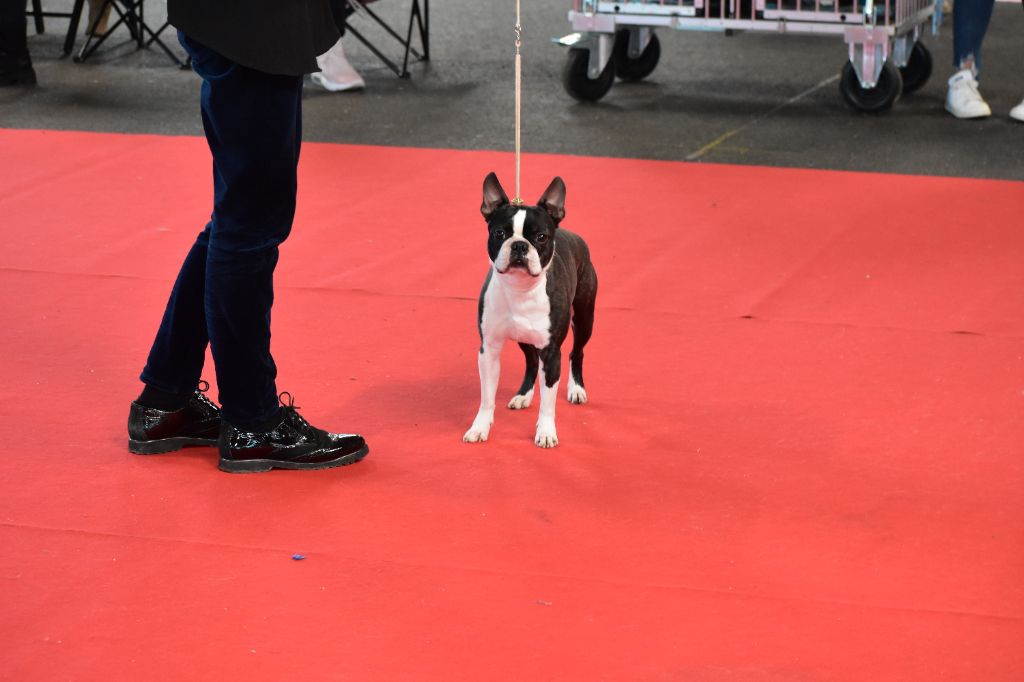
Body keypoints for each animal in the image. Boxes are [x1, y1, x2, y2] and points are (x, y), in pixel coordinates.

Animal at [466, 171, 598, 446]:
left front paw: (546, 432)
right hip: (524, 337)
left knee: (577, 352)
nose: (519, 245)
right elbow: (486, 397)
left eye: (541, 237)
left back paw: (576, 388)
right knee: (530, 361)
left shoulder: (551, 352)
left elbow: (548, 403)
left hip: (585, 319)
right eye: (499, 233)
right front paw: (480, 427)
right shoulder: (489, 350)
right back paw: (523, 395)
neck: (520, 289)